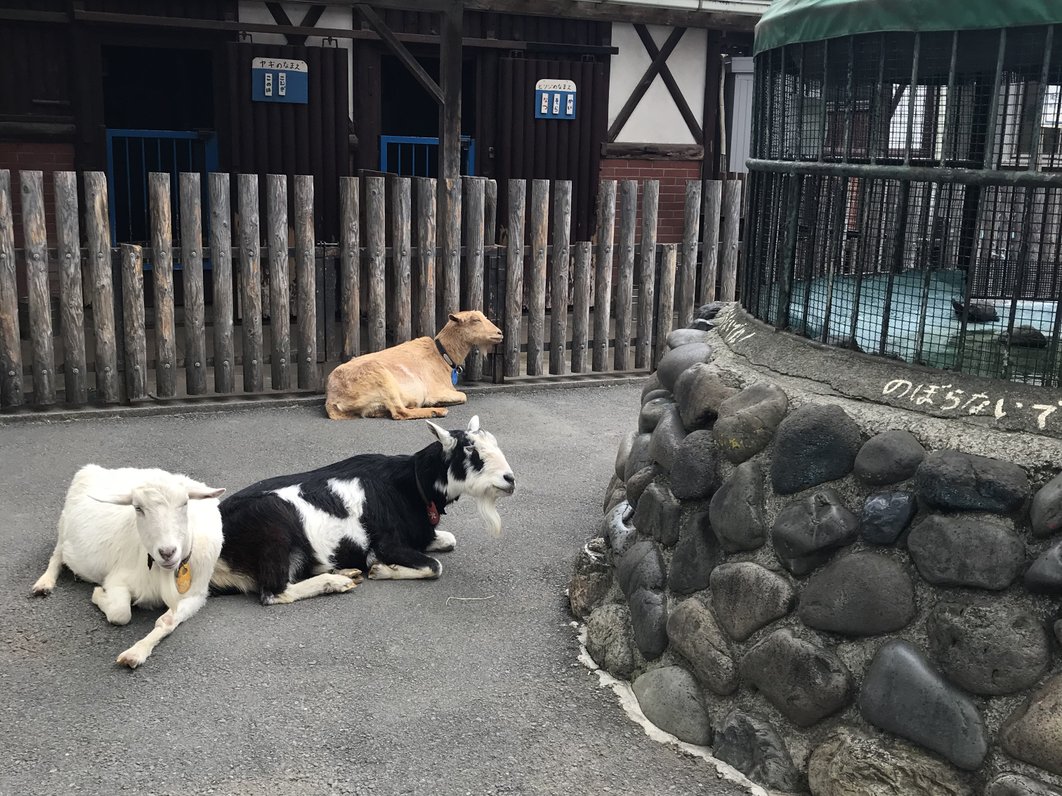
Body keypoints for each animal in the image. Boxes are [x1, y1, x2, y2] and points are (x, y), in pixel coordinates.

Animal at [32, 464, 226, 670]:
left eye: (185, 503)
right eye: (138, 508)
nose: (167, 552)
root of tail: (96, 469)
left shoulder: (195, 595)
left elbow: (166, 621)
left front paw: (136, 652)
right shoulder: (117, 579)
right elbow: (120, 613)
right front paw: (98, 594)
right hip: (63, 529)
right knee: (57, 556)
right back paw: (44, 584)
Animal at [211, 418, 514, 602]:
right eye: (470, 450)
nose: (510, 479)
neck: (409, 485)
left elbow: (449, 541)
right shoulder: (386, 544)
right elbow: (435, 566)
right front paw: (382, 570)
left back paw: (344, 573)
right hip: (273, 526)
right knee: (274, 592)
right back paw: (335, 582)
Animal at [322, 314, 501, 424]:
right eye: (475, 320)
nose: (499, 333)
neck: (441, 356)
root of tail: (332, 399)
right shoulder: (435, 390)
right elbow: (463, 396)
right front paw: (437, 403)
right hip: (382, 379)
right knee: (400, 412)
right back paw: (436, 411)